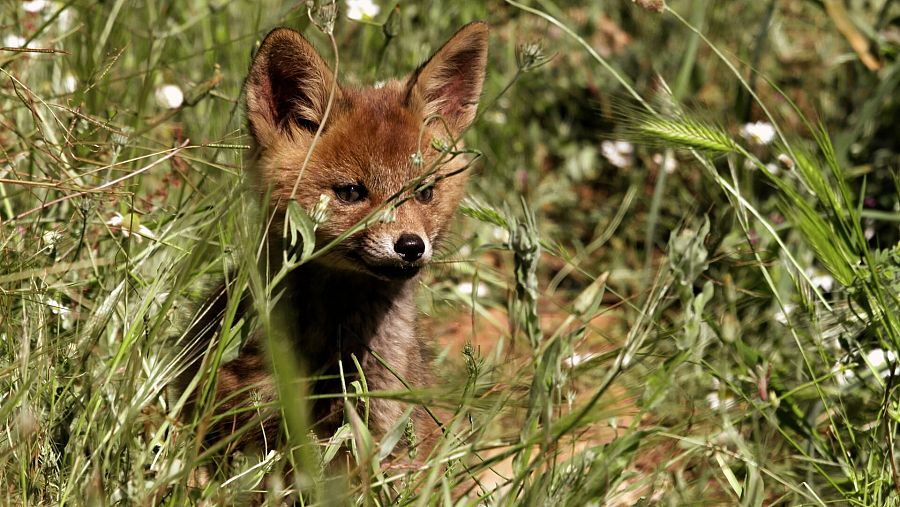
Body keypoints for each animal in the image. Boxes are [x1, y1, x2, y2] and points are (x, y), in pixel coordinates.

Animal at [177, 21, 492, 466]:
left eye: (425, 192)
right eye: (350, 192)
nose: (411, 246)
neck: (334, 348)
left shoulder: (381, 428)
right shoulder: (238, 417)